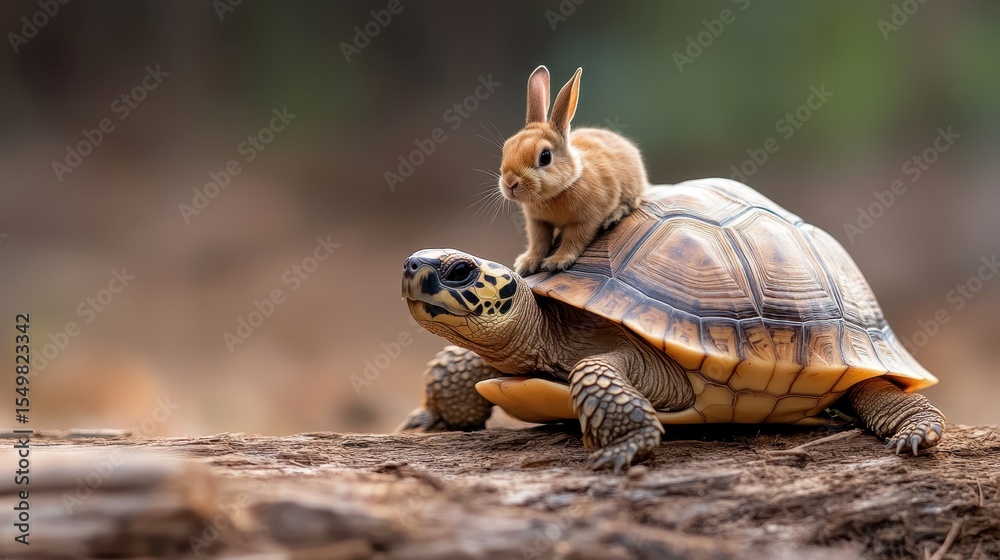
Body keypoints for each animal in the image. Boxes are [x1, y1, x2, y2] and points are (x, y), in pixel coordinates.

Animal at [499, 65, 648, 275]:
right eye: (506, 148)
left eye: (545, 157)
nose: (510, 183)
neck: (561, 190)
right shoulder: (537, 222)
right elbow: (538, 242)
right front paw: (527, 264)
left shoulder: (586, 220)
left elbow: (573, 239)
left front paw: (557, 261)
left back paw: (614, 215)